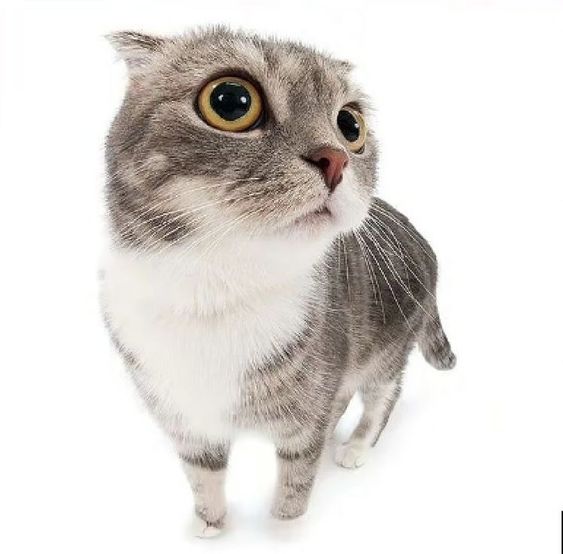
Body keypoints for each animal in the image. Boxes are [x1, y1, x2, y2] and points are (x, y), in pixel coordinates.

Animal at [100, 27, 454, 536]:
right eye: (231, 101)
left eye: (350, 125)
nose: (336, 157)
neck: (215, 287)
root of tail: (424, 240)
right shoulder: (186, 418)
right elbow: (202, 475)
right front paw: (209, 524)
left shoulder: (306, 414)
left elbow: (295, 479)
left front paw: (284, 530)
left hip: (388, 348)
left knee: (383, 395)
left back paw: (354, 447)